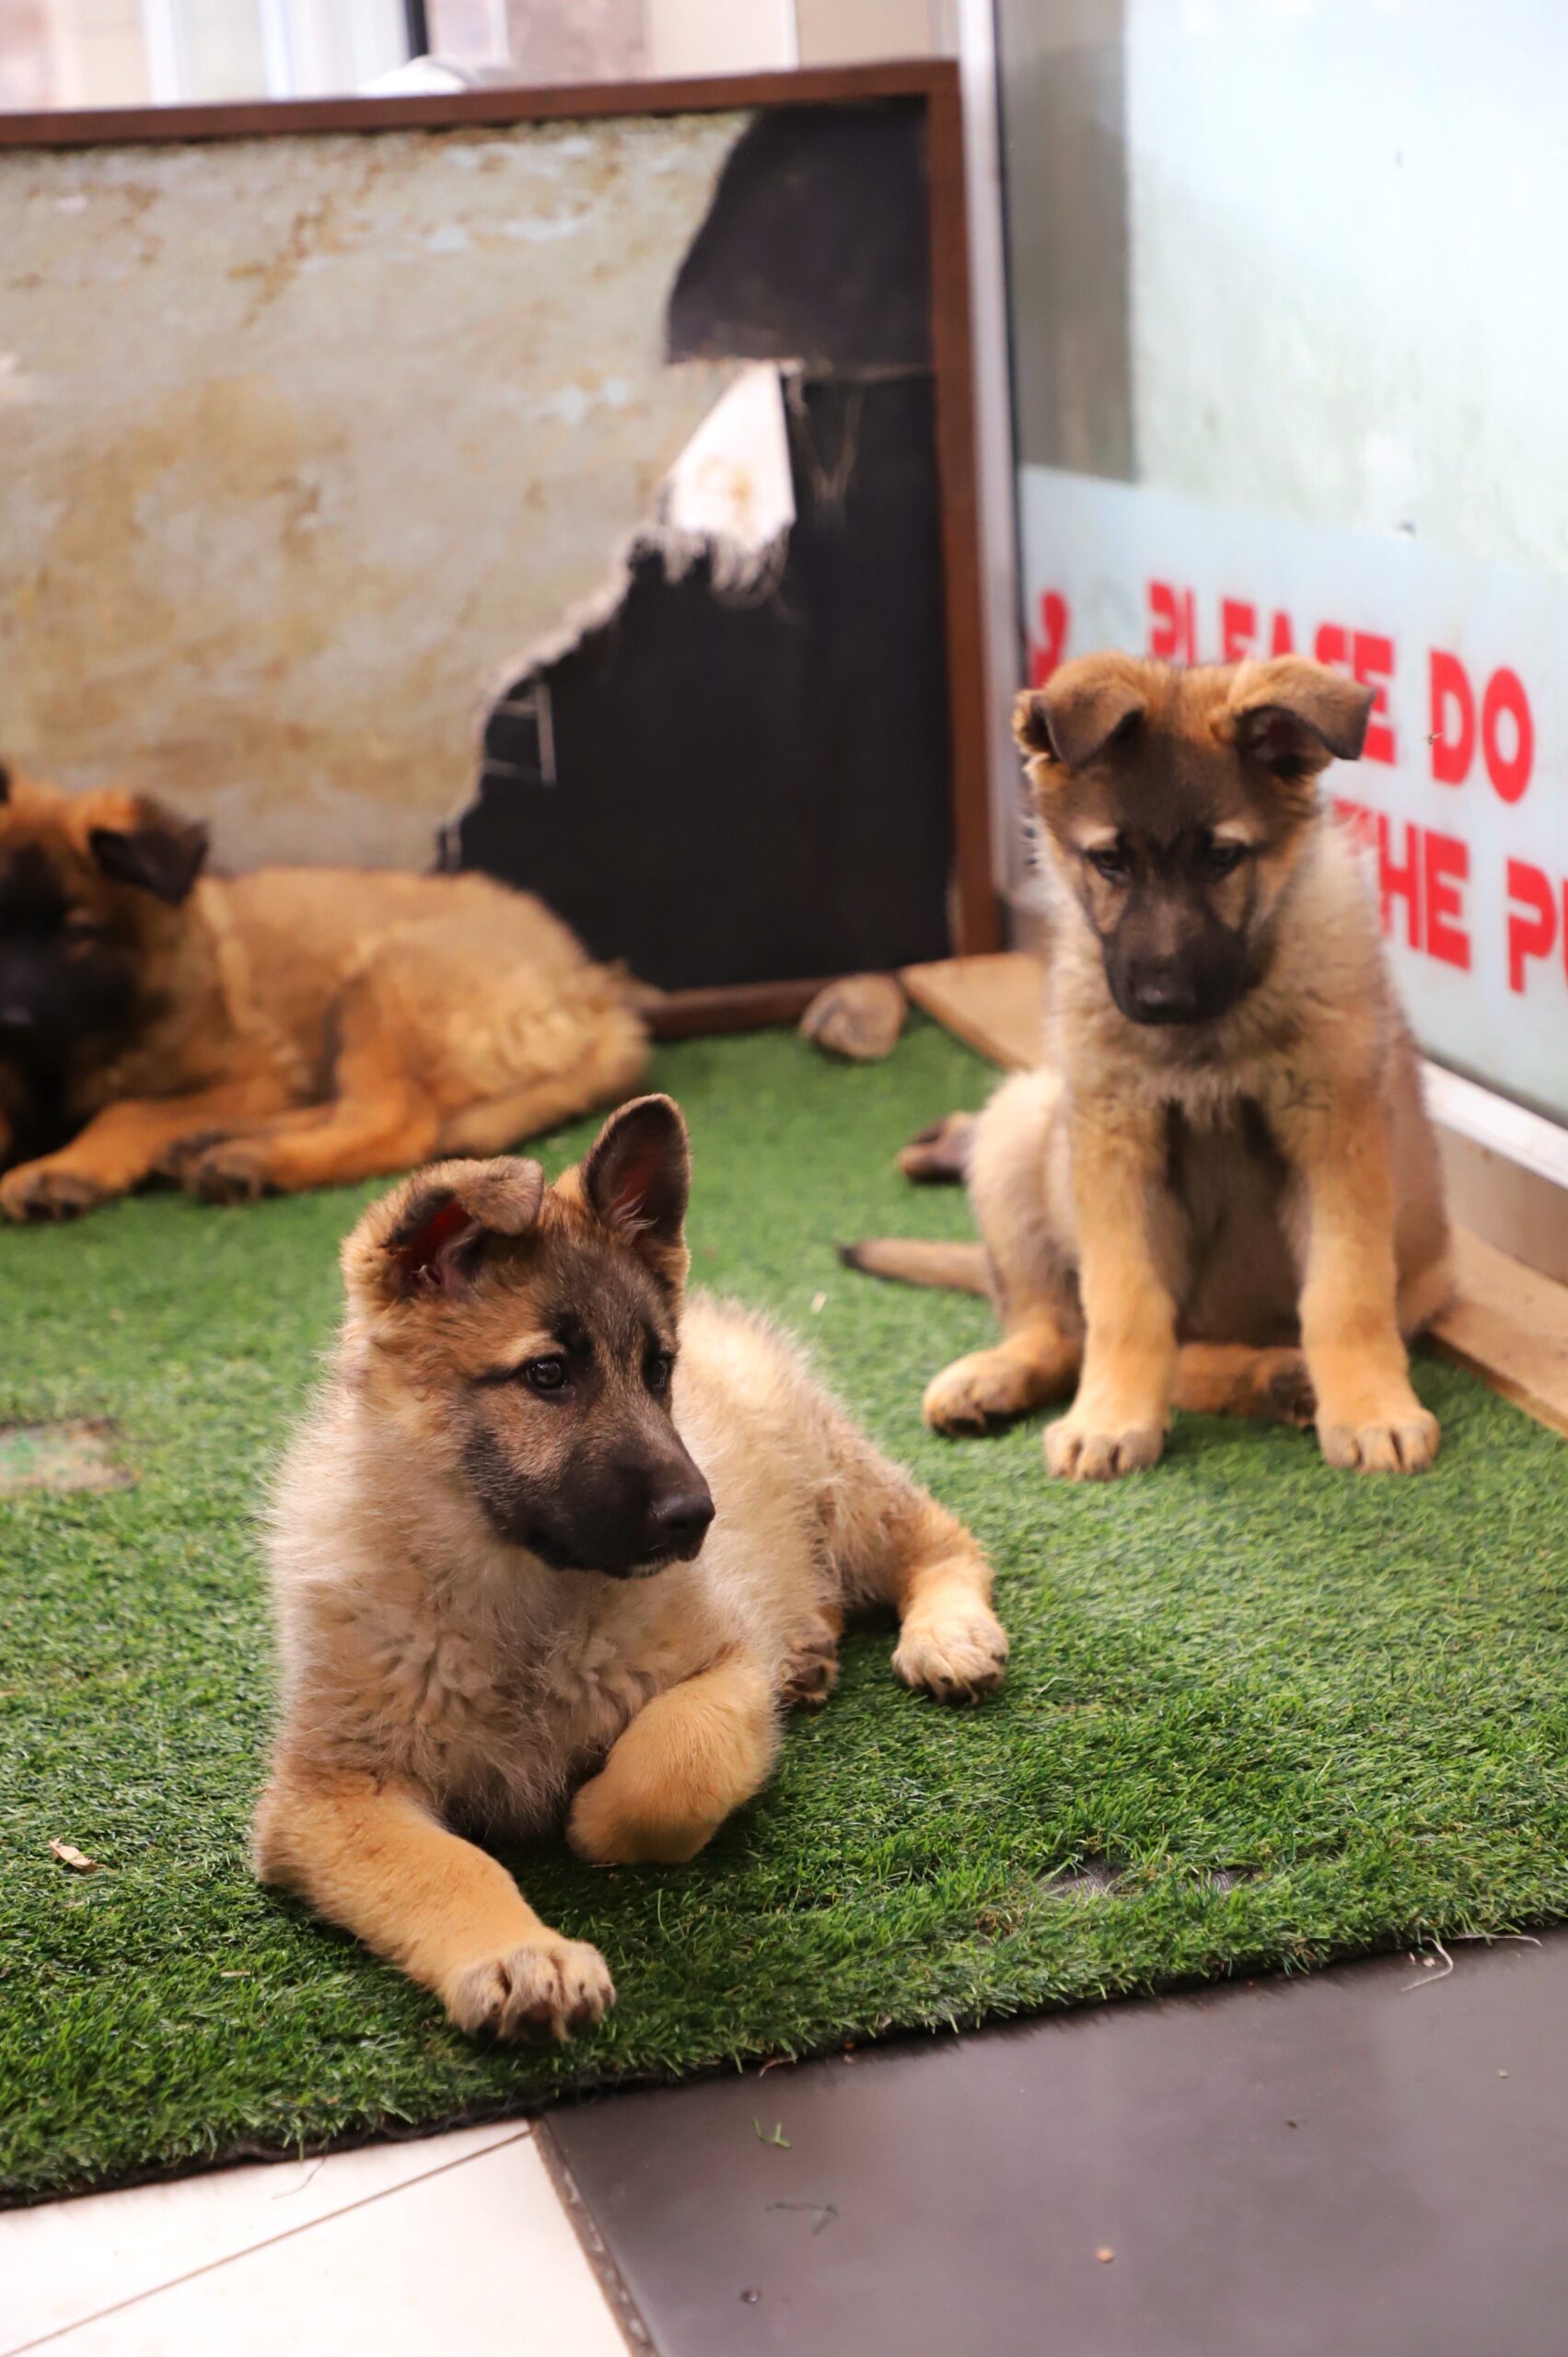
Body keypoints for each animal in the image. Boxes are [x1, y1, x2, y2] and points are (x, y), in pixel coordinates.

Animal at [0, 768, 646, 1218]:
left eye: (77, 934)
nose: (10, 1021)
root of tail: (590, 983)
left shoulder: (258, 1073)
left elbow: (127, 1108)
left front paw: (59, 1170)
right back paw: (210, 1141)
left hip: (381, 980)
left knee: (392, 1121)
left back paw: (249, 1159)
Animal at [254, 1094, 1007, 2039]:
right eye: (547, 1375)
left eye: (657, 1371)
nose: (697, 1517)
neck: (517, 1595)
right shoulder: (328, 1793)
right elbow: (444, 1867)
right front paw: (518, 1956)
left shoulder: (726, 1665)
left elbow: (671, 1766)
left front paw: (593, 1822)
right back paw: (814, 1658)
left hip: (841, 1493)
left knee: (945, 1540)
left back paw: (948, 1636)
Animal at [846, 652, 1453, 1480]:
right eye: (1109, 861)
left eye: (1223, 857)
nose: (1163, 999)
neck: (1207, 1040)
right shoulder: (1114, 1141)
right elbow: (1124, 1304)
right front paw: (1110, 1419)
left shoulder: (1334, 1138)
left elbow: (1344, 1295)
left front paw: (1370, 1410)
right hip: (1019, 1123)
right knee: (1065, 1328)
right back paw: (1003, 1378)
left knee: (1189, 1354)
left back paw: (1282, 1377)